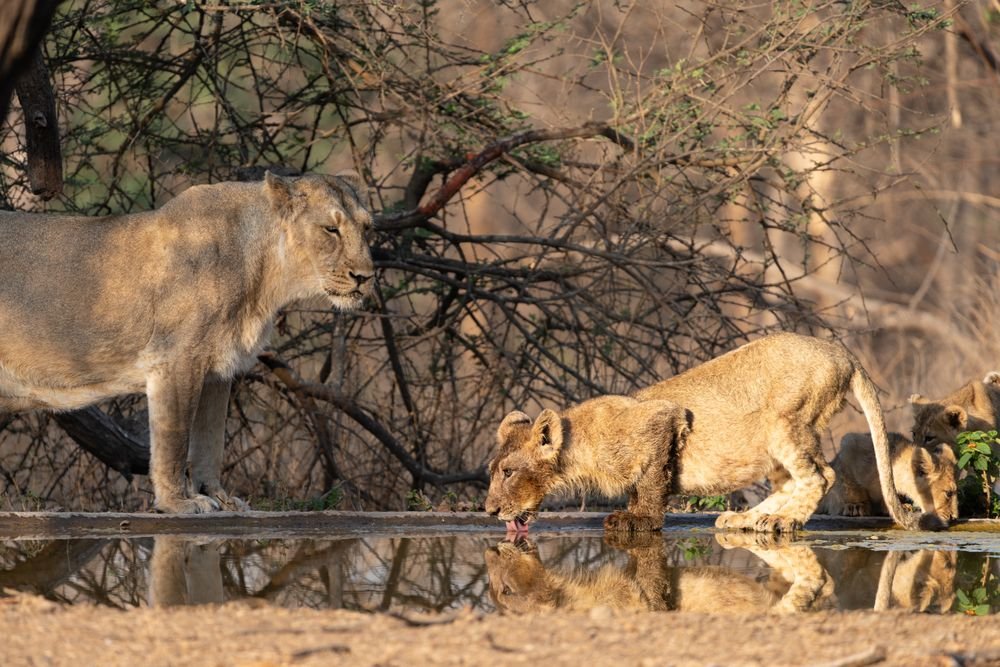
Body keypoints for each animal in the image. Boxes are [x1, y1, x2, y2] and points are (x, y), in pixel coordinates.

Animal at [0, 172, 374, 513]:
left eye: (367, 228)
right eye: (331, 230)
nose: (365, 277)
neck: (264, 277)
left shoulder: (218, 372)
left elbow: (210, 440)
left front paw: (220, 498)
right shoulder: (177, 359)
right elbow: (175, 439)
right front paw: (178, 502)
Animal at [484, 395, 690, 533]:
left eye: (508, 472)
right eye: (492, 472)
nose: (490, 512)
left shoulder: (661, 415)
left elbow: (650, 482)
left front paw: (643, 519)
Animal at [633, 332, 935, 532]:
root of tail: (841, 352)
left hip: (784, 423)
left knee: (822, 475)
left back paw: (785, 520)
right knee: (789, 482)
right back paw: (747, 519)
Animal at [815, 432, 957, 523]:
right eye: (948, 493)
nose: (953, 517)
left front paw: (902, 506)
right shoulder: (849, 445)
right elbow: (848, 484)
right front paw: (856, 506)